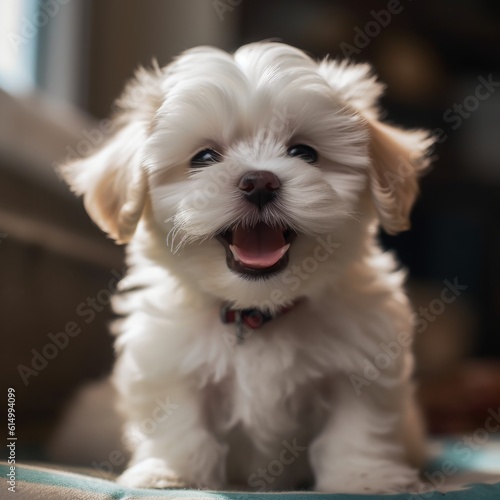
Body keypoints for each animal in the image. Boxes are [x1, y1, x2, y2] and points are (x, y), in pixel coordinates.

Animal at [59, 42, 434, 492]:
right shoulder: (169, 361)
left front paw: (363, 478)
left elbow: (357, 425)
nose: (259, 181)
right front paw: (173, 473)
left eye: (305, 153)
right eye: (203, 157)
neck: (257, 311)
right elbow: (180, 420)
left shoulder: (361, 362)